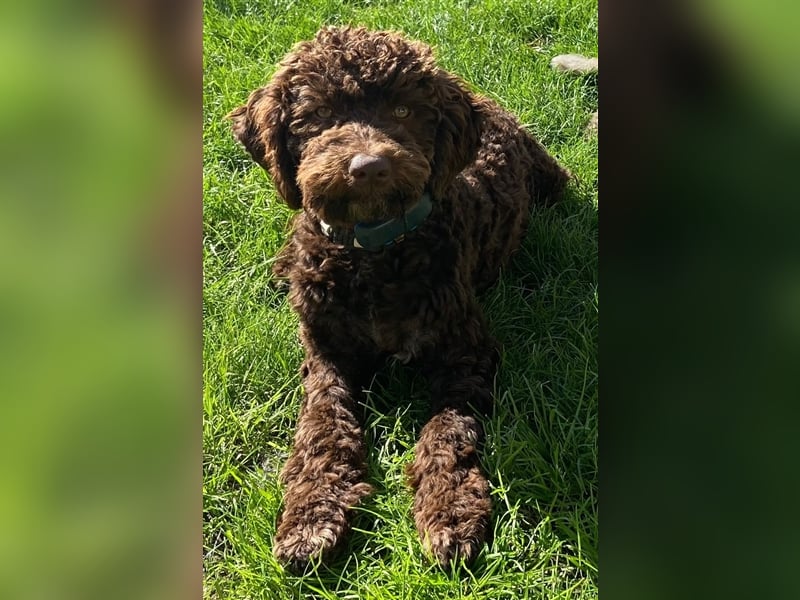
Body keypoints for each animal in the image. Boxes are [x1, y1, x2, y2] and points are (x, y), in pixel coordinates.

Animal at [231, 25, 568, 568]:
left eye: (405, 111)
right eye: (320, 113)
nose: (369, 166)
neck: (376, 254)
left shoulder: (465, 353)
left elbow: (447, 432)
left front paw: (449, 508)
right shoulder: (327, 354)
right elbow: (323, 424)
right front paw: (310, 513)